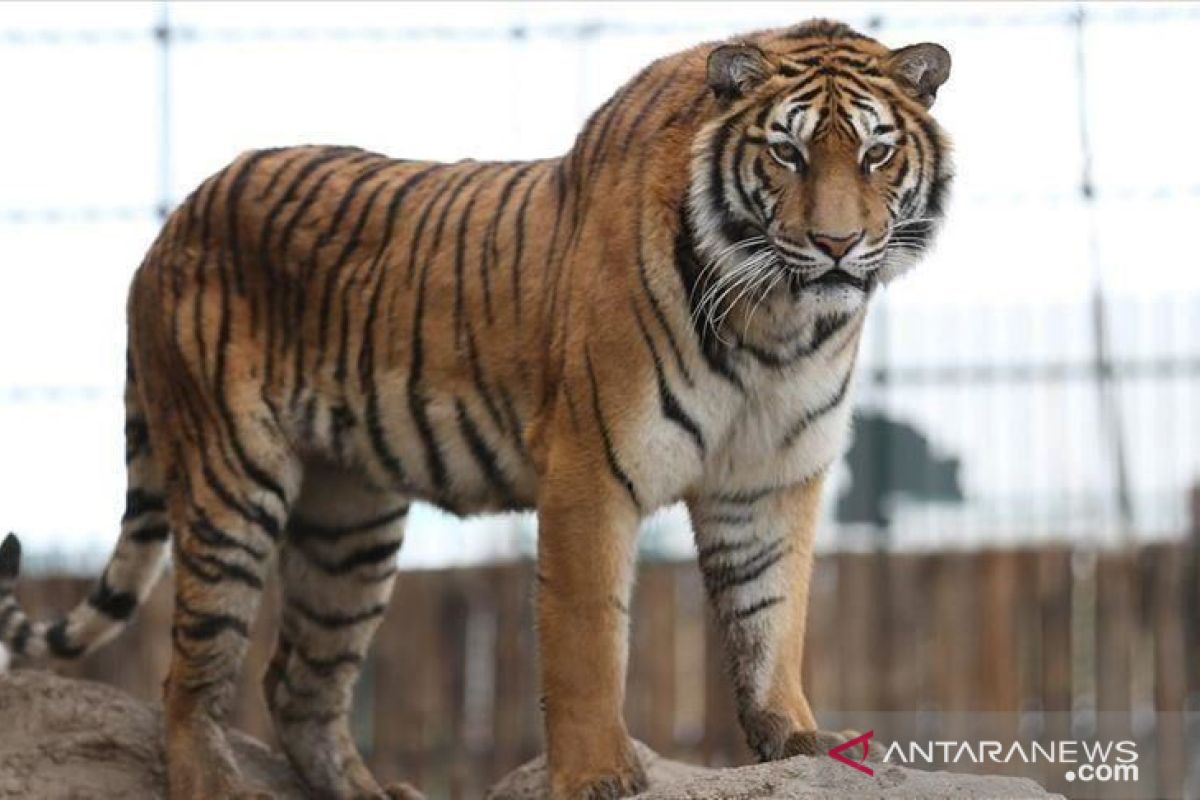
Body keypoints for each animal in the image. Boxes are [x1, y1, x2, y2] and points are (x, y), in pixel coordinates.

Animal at [2, 18, 955, 800]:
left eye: (874, 155)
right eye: (787, 154)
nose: (836, 245)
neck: (780, 322)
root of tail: (169, 227)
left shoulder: (768, 479)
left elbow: (772, 621)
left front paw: (796, 740)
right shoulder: (590, 468)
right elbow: (587, 638)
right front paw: (598, 775)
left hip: (349, 522)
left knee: (298, 683)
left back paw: (373, 795)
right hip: (231, 478)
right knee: (190, 675)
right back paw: (221, 788)